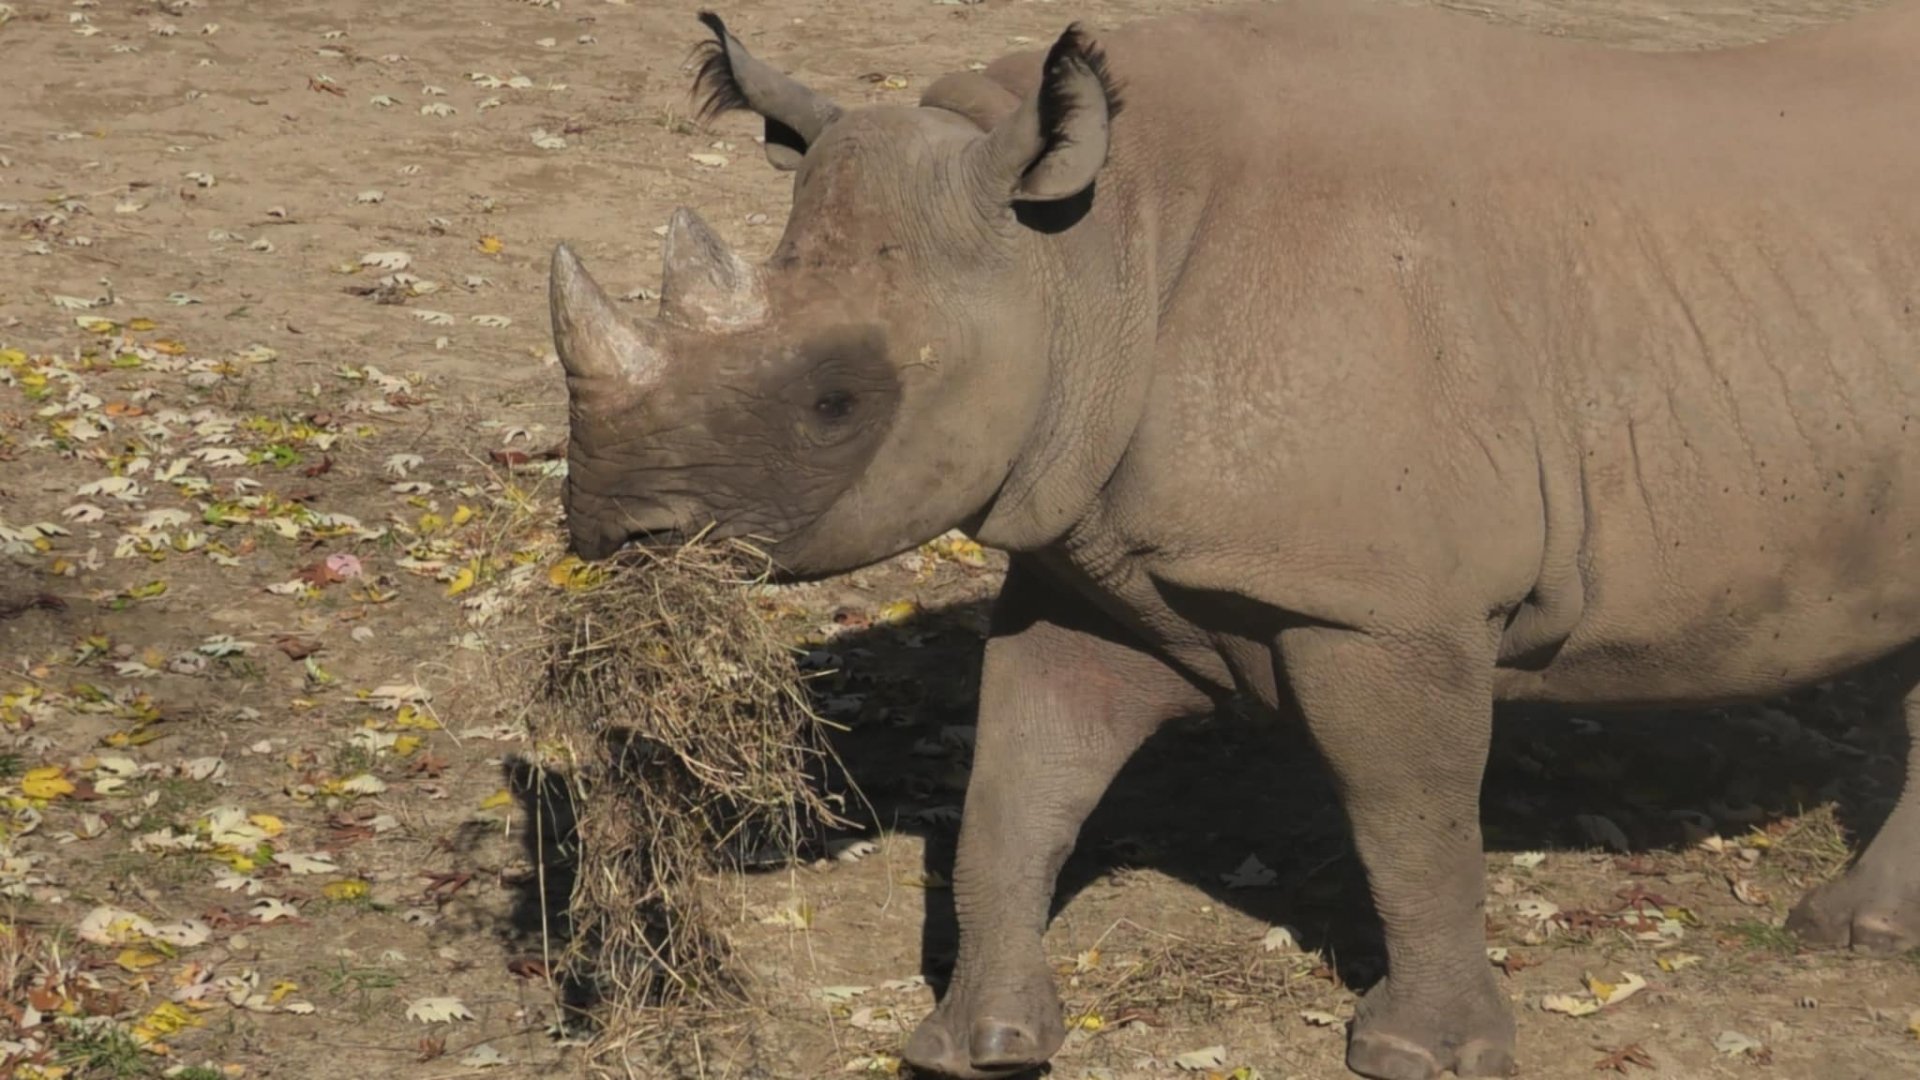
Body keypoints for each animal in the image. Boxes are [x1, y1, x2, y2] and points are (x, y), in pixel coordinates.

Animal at [548, 1, 1920, 1076]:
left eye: (837, 403)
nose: (614, 527)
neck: (1084, 258)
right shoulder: (1085, 554)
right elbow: (1015, 790)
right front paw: (975, 1045)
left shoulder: (1383, 603)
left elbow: (1408, 818)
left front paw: (1416, 1055)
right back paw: (1861, 933)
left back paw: (1844, 933)